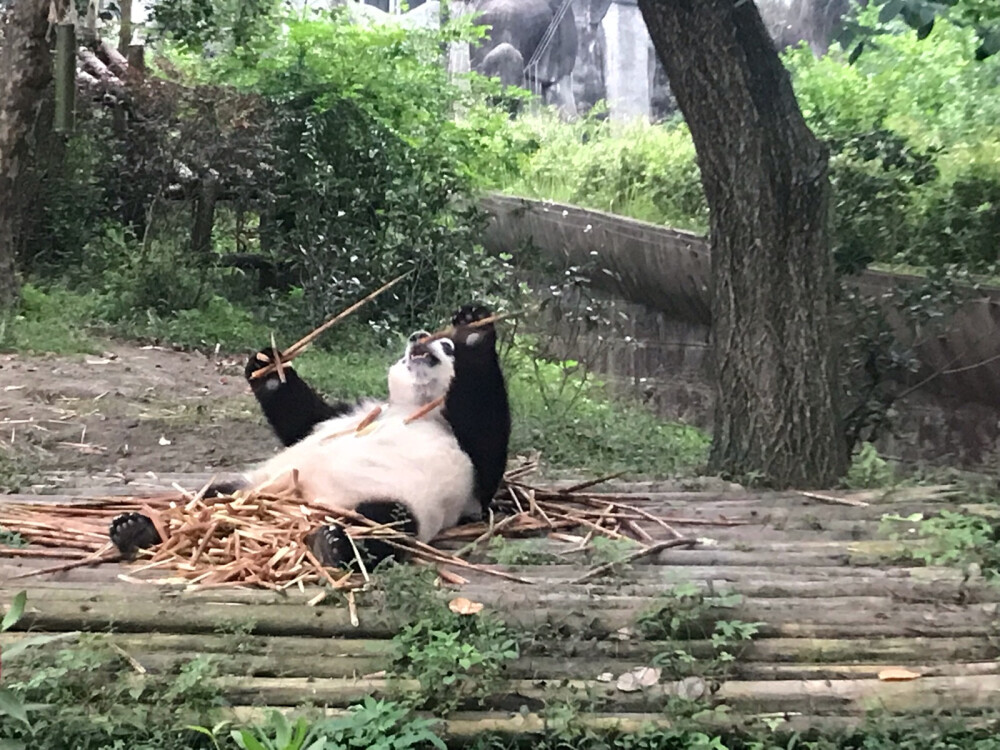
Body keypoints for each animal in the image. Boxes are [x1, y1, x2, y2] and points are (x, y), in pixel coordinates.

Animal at [111, 306, 508, 568]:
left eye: (447, 345)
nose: (418, 338)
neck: (413, 406)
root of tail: (305, 504)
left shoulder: (466, 453)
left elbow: (487, 435)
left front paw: (474, 329)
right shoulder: (349, 413)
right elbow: (301, 418)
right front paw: (268, 364)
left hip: (392, 500)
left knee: (385, 526)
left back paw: (333, 544)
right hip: (255, 487)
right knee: (208, 498)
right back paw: (137, 529)